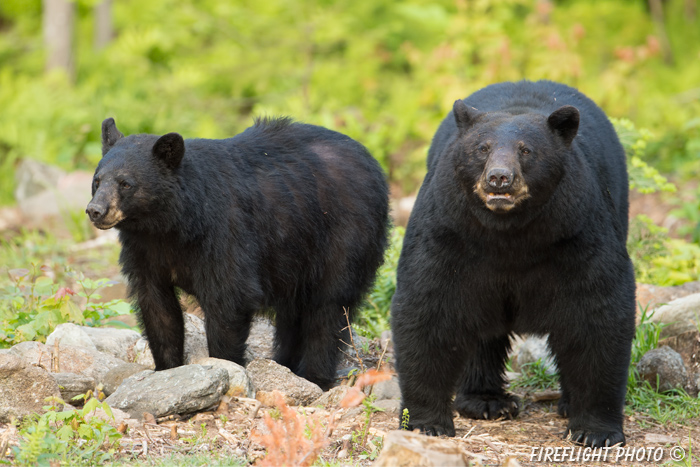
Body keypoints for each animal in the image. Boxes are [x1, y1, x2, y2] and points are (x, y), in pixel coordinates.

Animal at [87, 118, 388, 392]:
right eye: (97, 180)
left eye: (126, 183)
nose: (95, 210)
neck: (171, 226)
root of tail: (371, 160)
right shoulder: (145, 252)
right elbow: (158, 309)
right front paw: (167, 370)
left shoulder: (223, 235)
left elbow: (228, 299)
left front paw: (227, 368)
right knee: (292, 313)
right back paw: (284, 363)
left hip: (343, 235)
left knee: (327, 308)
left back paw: (315, 375)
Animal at [392, 81, 636, 450]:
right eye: (482, 148)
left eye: (526, 150)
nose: (499, 178)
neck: (508, 233)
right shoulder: (449, 230)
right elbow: (428, 306)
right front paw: (426, 423)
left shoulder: (577, 229)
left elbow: (598, 310)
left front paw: (597, 430)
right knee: (479, 330)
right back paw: (486, 400)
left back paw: (565, 403)